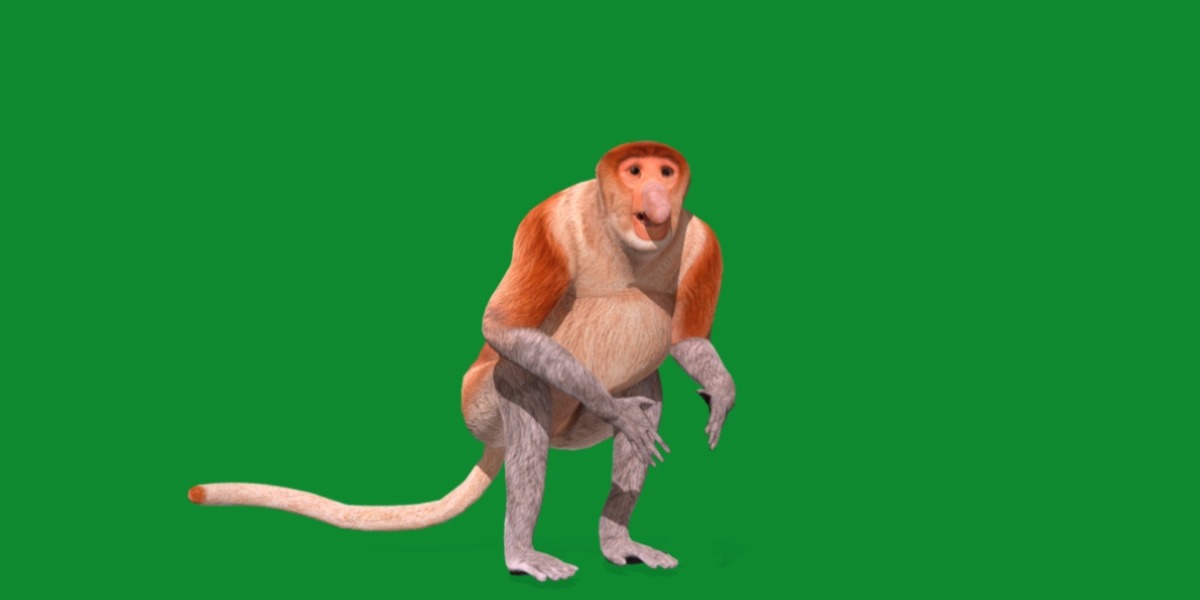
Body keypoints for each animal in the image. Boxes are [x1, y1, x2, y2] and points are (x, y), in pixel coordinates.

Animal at [189, 141, 736, 582]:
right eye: (635, 171)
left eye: (666, 171)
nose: (656, 195)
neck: (628, 245)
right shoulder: (549, 223)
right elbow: (503, 329)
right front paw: (619, 411)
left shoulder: (705, 242)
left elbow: (687, 342)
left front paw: (719, 392)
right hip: (480, 403)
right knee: (522, 382)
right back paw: (523, 553)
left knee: (647, 390)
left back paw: (618, 541)